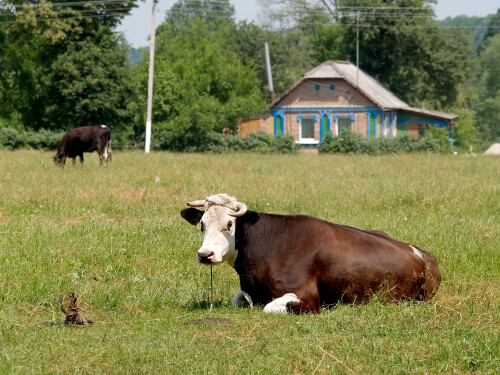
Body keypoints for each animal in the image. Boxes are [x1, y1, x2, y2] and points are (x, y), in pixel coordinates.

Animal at [181, 194, 442, 314]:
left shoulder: (307, 297)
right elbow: (238, 301)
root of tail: (424, 254)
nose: (205, 254)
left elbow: (268, 308)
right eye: (202, 224)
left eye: (229, 224)